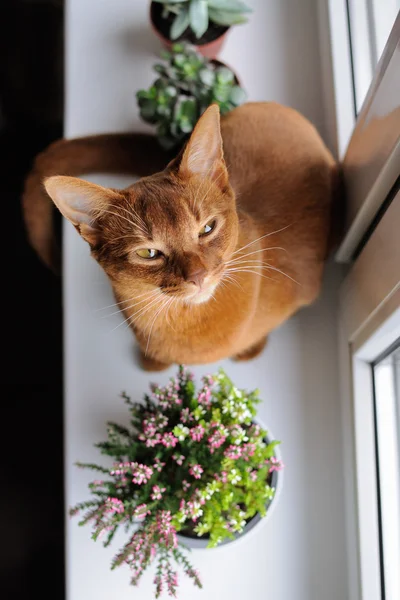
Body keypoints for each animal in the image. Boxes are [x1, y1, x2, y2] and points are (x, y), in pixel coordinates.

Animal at [22, 102, 340, 370]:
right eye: (148, 253)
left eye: (207, 228)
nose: (198, 276)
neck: (183, 322)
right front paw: (152, 362)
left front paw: (251, 349)